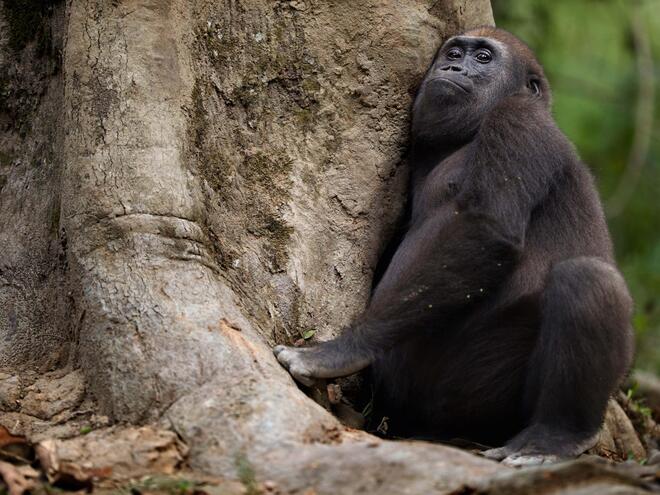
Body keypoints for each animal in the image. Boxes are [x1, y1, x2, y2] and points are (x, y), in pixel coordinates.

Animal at [274, 27, 636, 468]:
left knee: (587, 278)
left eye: (482, 58)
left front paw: (345, 349)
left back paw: (558, 435)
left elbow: (485, 229)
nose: (452, 69)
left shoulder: (520, 118)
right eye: (453, 52)